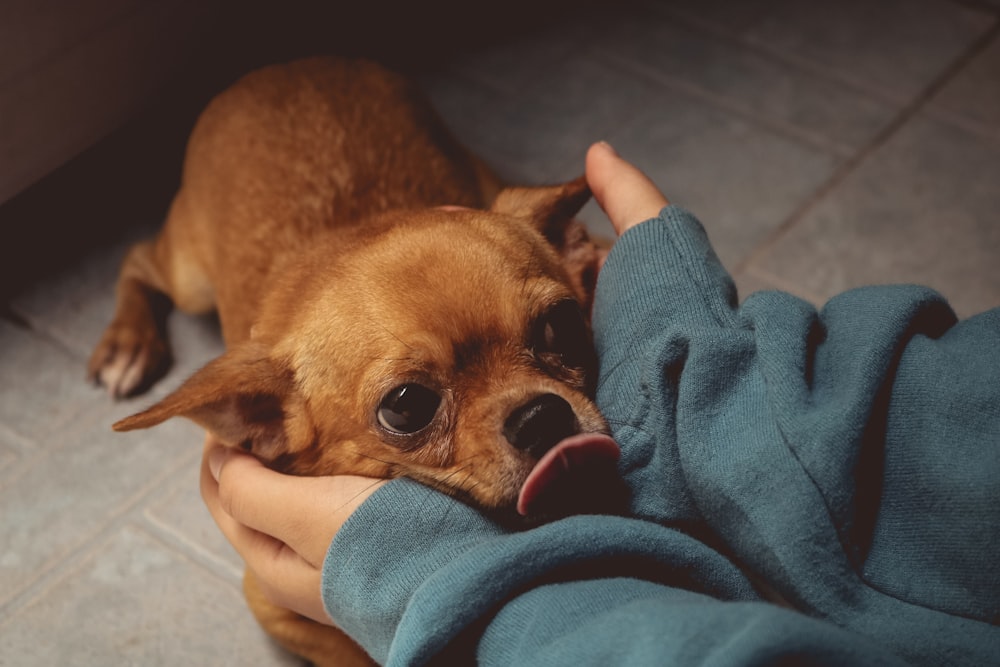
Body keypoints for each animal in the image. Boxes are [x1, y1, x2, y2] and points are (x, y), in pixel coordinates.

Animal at [88, 58, 616, 667]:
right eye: (406, 407)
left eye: (561, 326)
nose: (540, 417)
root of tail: (281, 67)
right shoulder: (274, 606)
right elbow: (353, 654)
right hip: (190, 277)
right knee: (138, 258)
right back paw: (128, 342)